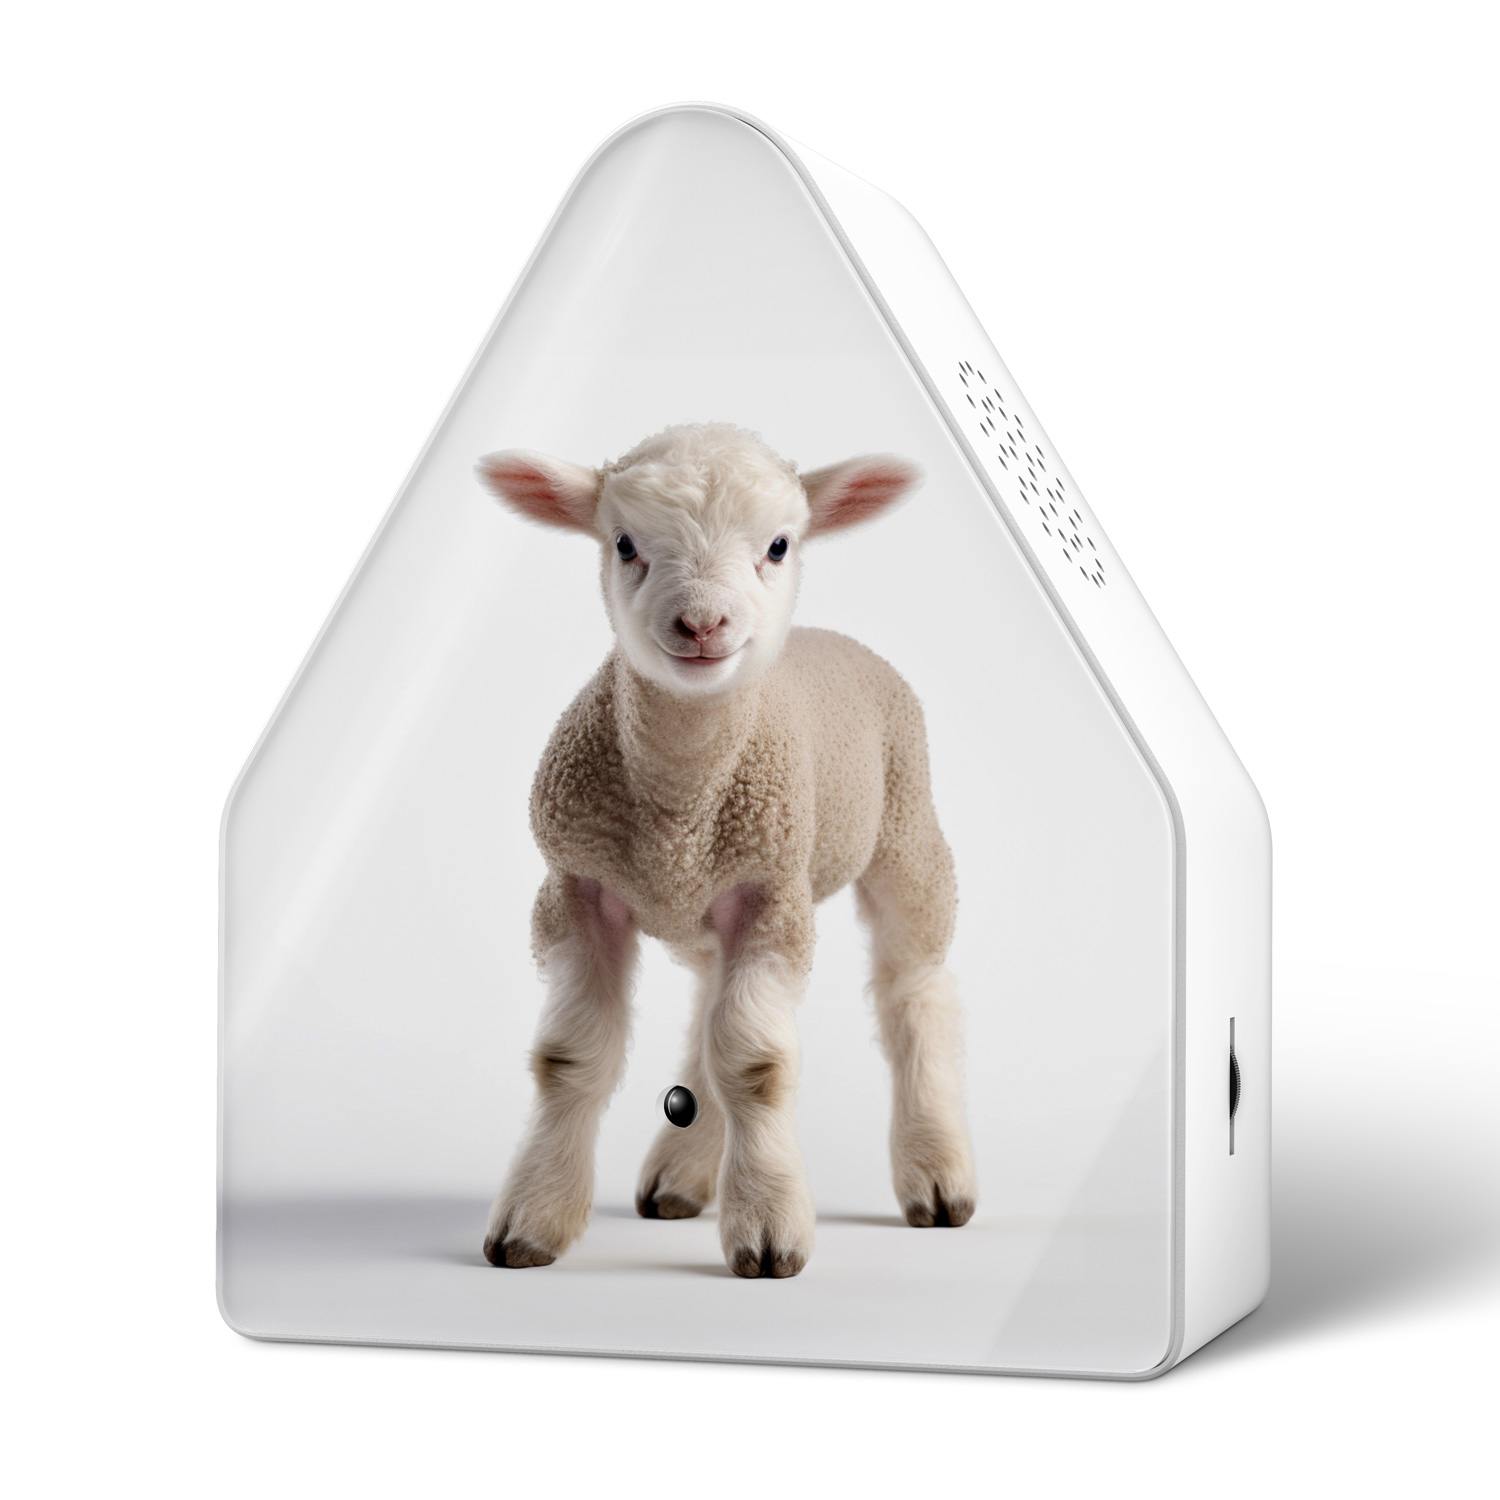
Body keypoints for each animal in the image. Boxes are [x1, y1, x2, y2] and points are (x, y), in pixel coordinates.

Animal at [476, 423, 975, 1279]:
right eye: (624, 543)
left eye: (778, 544)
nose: (703, 624)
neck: (679, 802)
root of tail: (831, 638)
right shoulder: (575, 886)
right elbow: (571, 1059)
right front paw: (534, 1218)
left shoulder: (773, 894)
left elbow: (754, 1063)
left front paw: (769, 1229)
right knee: (711, 1008)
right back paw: (682, 1175)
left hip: (907, 830)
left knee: (914, 991)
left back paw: (937, 1171)